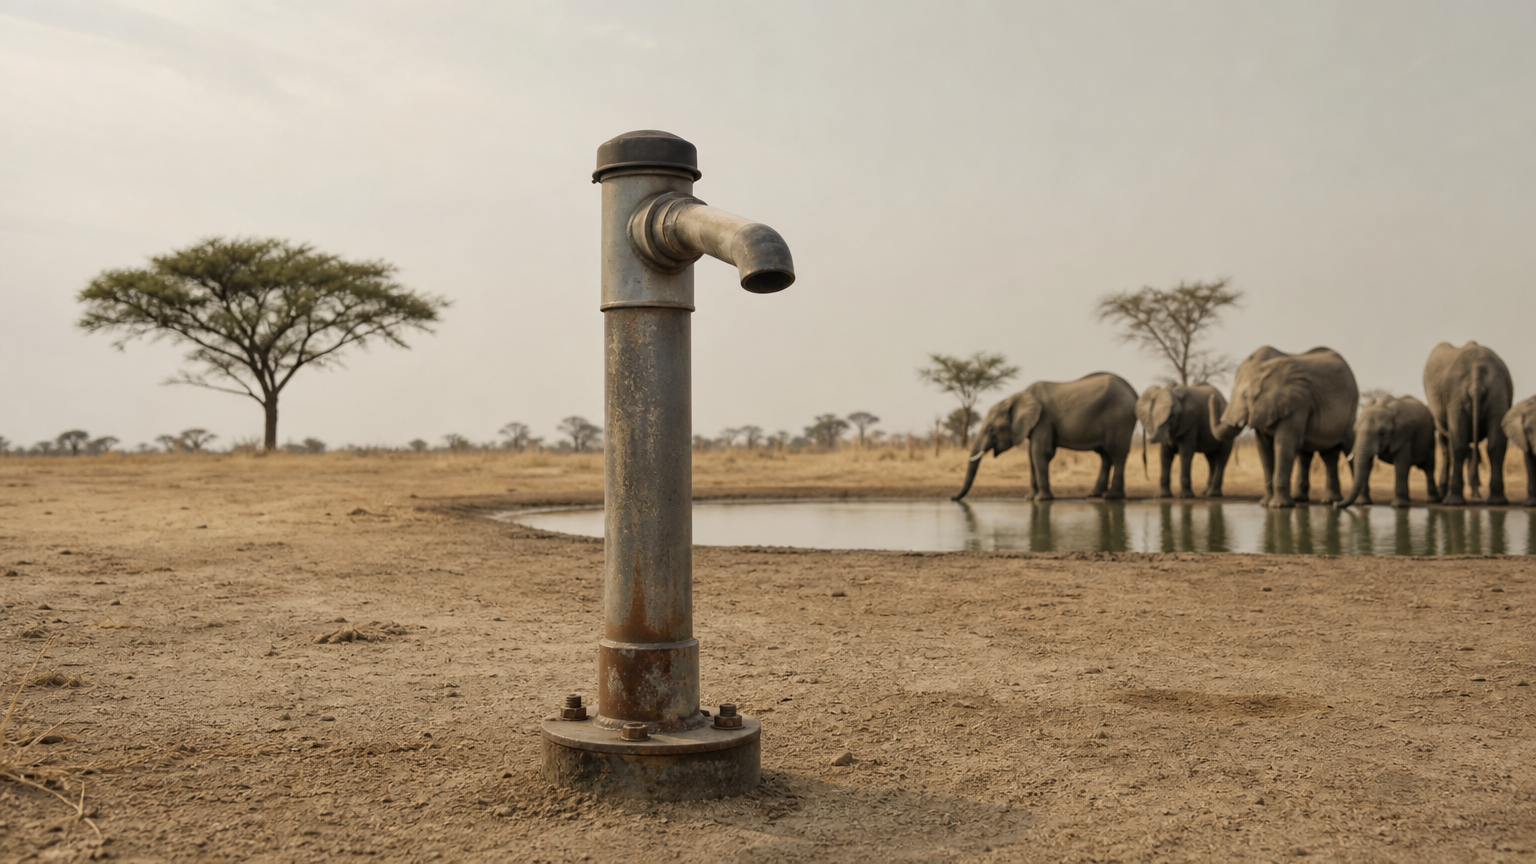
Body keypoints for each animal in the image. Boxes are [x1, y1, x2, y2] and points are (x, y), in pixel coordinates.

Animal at [952, 372, 1138, 502]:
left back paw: (1111, 497)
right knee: (1105, 455)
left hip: (1119, 420)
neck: (1016, 398)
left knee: (1117, 454)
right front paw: (1030, 498)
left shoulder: (1044, 420)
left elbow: (1039, 453)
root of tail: (1134, 393)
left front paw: (1042, 500)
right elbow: (1031, 456)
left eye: (991, 429)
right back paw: (1095, 495)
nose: (952, 498)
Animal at [1210, 346, 1359, 509]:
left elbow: (1283, 443)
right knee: (1323, 456)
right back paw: (1319, 500)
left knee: (1348, 447)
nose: (1212, 396)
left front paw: (1278, 506)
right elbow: (1264, 447)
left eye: (1246, 396)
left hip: (1351, 413)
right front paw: (1265, 504)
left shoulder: (1298, 404)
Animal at [1424, 341, 1514, 506]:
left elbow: (1446, 445)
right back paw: (1497, 501)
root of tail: (1476, 371)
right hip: (1497, 393)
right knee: (1496, 446)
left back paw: (1453, 501)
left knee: (1458, 446)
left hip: (1456, 397)